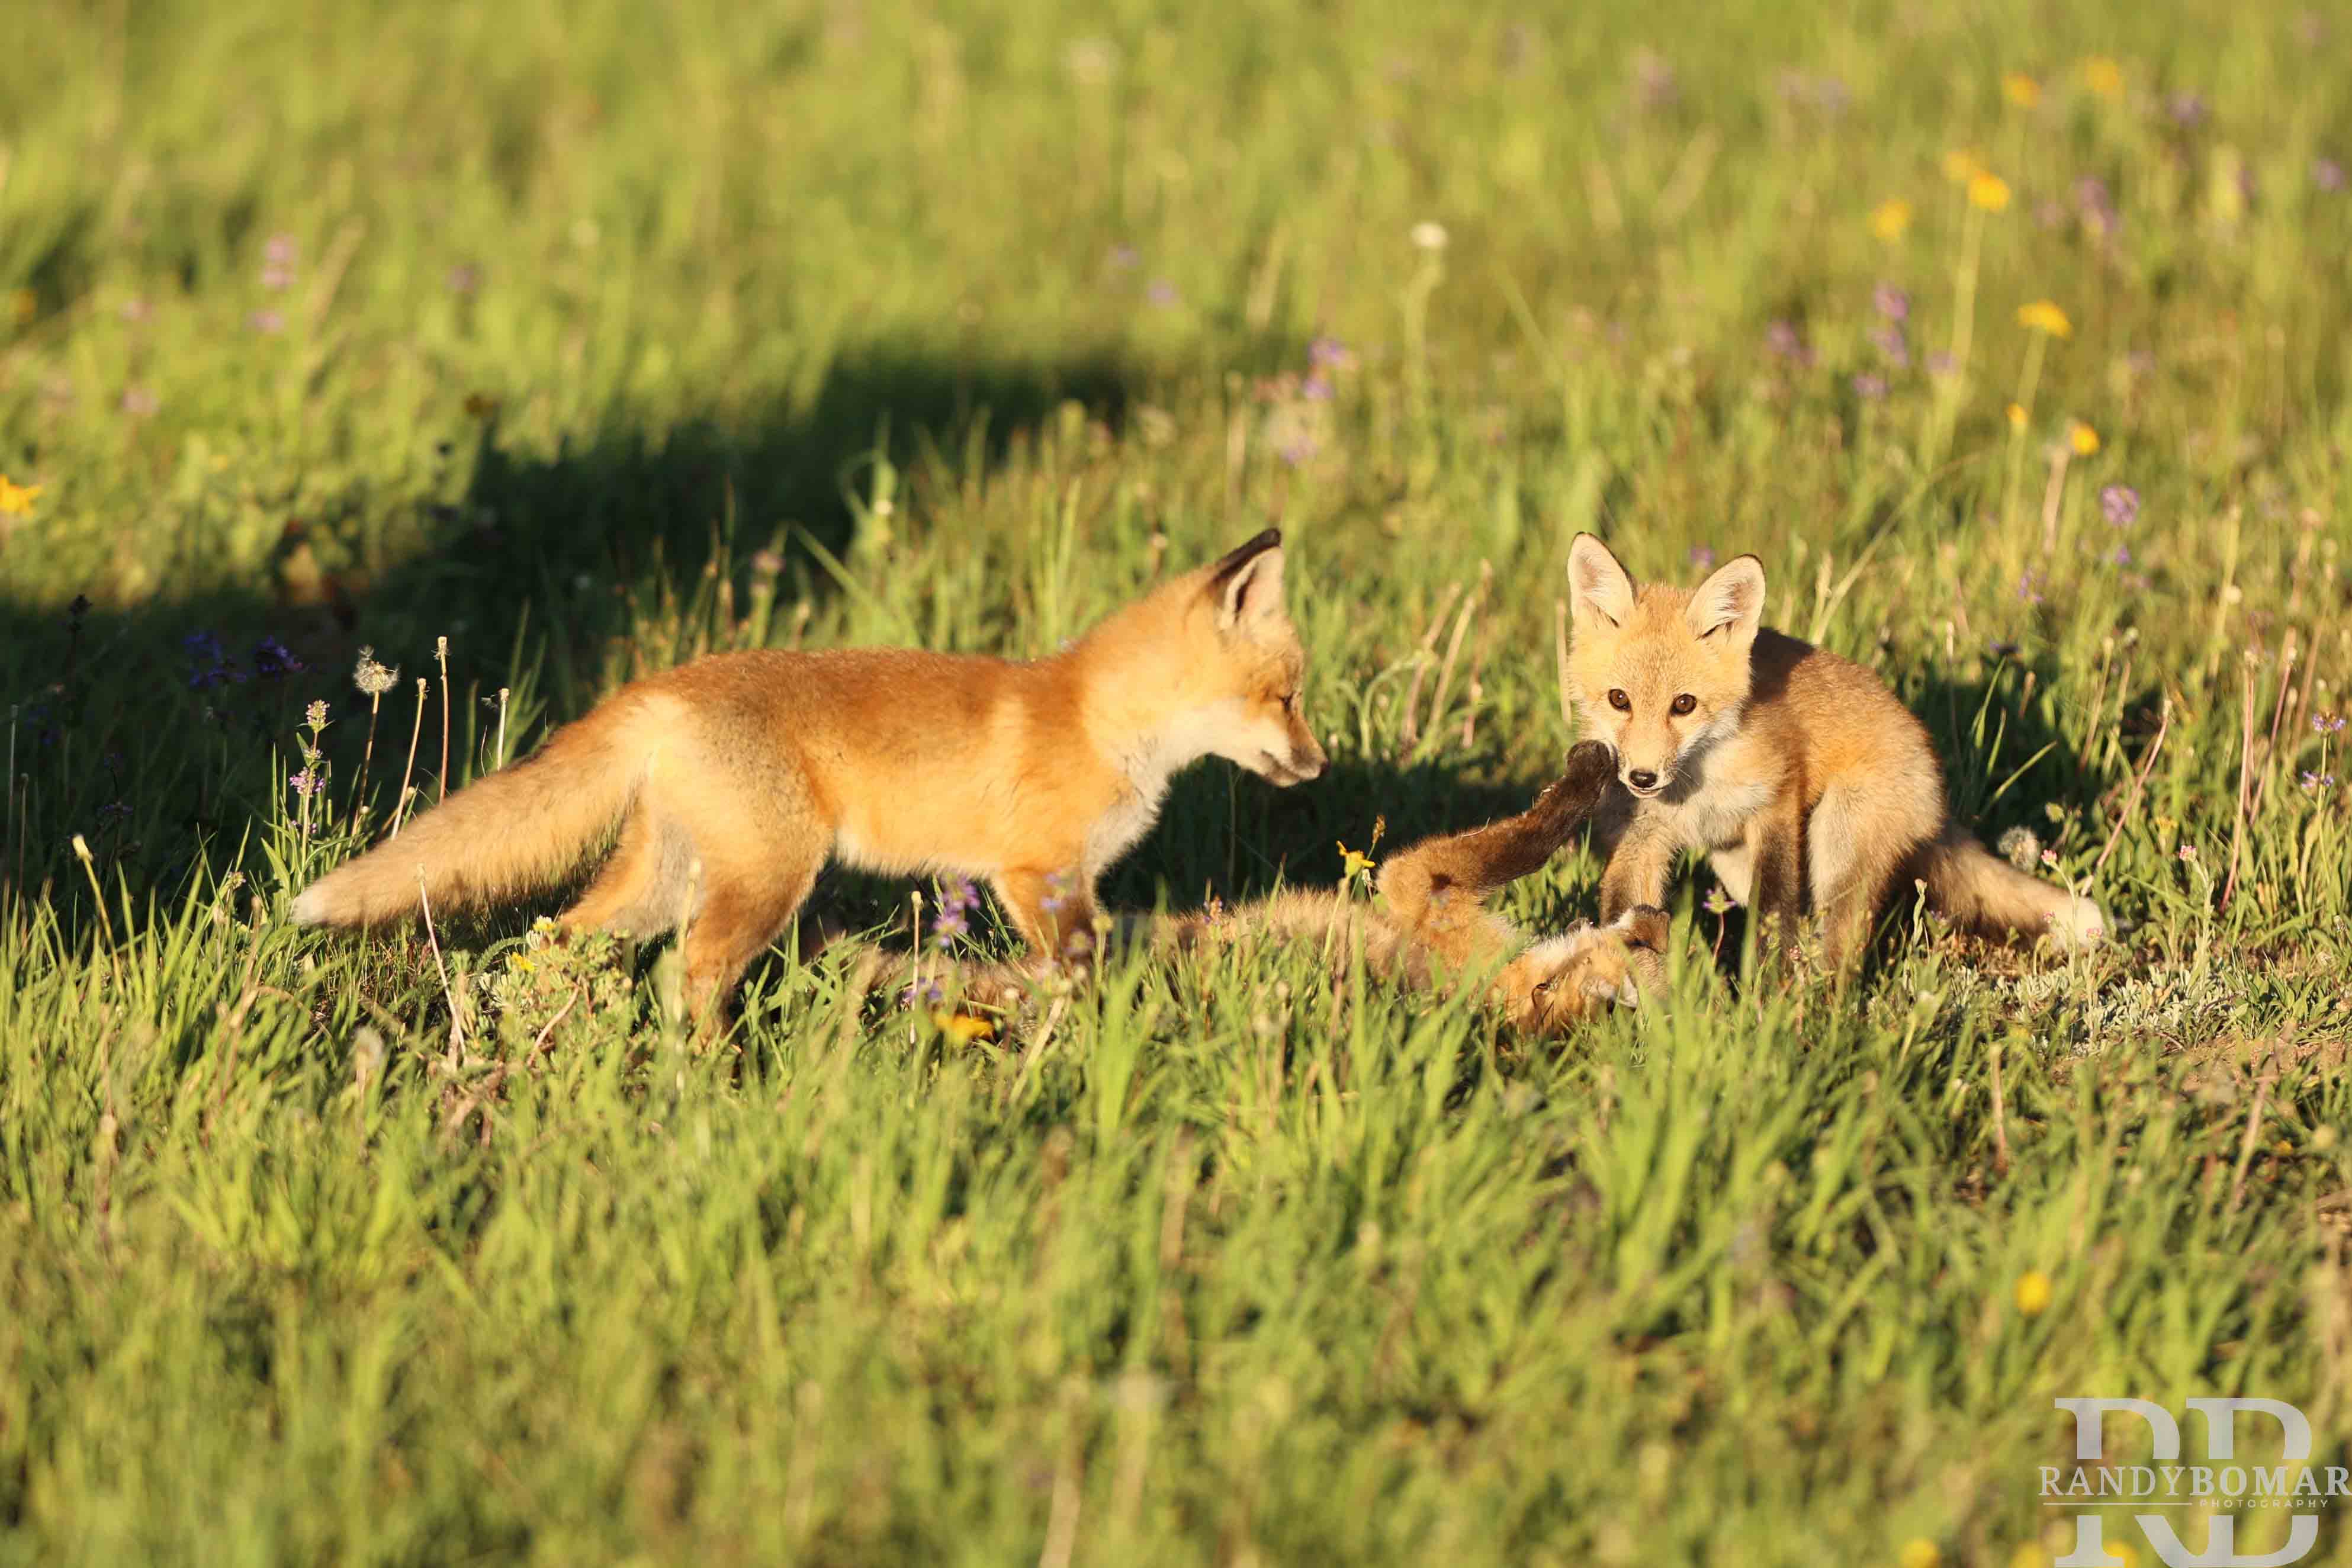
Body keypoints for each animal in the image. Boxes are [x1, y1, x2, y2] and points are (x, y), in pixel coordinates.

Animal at [291, 529, 1328, 1016]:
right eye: (1285, 697)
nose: (1320, 767)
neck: (1100, 723)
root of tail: (662, 683)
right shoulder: (1037, 875)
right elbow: (1074, 977)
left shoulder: (1064, 887)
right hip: (764, 882)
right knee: (690, 975)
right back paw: (707, 1092)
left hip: (664, 880)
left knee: (557, 939)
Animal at [853, 740, 1672, 1037]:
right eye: (1645, 948)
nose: (1659, 920)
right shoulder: (1426, 889)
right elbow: (1528, 838)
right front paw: (1597, 769)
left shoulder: (1418, 884)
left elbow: (1524, 835)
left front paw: (1588, 769)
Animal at [1562, 532, 2108, 971]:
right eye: (1619, 700)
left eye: (1684, 705)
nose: (1643, 778)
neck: (1696, 787)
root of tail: (1936, 796)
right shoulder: (1641, 842)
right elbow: (1626, 927)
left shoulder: (1778, 803)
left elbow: (1773, 917)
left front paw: (1764, 1005)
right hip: (1734, 861)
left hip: (1836, 842)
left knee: (1839, 950)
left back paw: (1822, 1017)